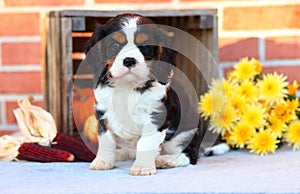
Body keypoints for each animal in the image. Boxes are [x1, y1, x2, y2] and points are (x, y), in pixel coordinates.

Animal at [85, 13, 209, 176]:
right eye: (115, 46)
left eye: (145, 47)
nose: (129, 60)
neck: (128, 85)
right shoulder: (103, 111)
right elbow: (106, 139)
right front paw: (103, 161)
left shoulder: (156, 114)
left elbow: (146, 142)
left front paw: (142, 167)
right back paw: (120, 155)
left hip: (187, 132)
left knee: (189, 156)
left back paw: (164, 160)